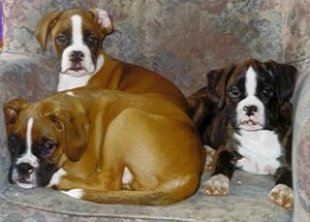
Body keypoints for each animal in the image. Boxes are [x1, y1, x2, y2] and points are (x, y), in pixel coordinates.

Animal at [3, 89, 206, 205]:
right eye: (12, 141)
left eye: (48, 146)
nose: (24, 168)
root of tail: (193, 173)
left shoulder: (80, 167)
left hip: (125, 118)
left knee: (109, 181)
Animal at [188, 58, 296, 208]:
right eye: (234, 92)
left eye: (267, 91)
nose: (250, 108)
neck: (257, 135)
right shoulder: (226, 149)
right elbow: (221, 163)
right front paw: (217, 180)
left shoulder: (287, 160)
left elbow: (288, 175)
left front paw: (284, 190)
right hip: (203, 108)